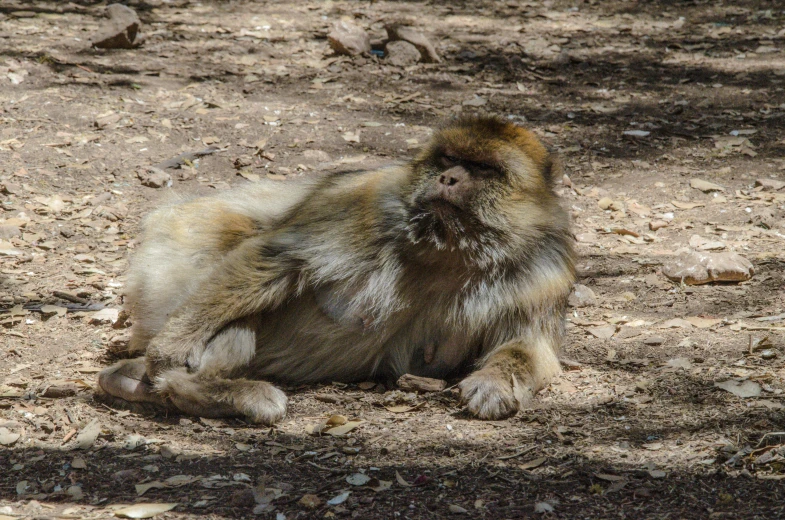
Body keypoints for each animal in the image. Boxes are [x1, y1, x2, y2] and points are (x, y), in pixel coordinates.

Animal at [99, 114, 576, 422]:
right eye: (446, 159)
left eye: (482, 168)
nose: (448, 179)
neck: (449, 250)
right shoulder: (365, 203)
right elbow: (275, 258)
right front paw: (172, 346)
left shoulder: (539, 272)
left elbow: (528, 347)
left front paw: (495, 384)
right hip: (169, 275)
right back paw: (215, 392)